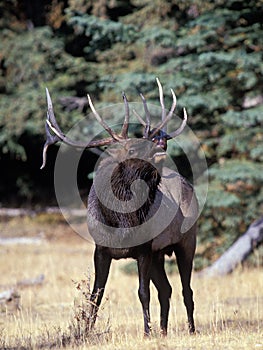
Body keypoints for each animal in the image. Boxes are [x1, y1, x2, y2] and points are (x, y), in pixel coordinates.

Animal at [40, 79, 198, 336]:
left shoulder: (144, 249)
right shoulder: (101, 250)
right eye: (132, 149)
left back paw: (191, 330)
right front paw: (86, 332)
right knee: (167, 289)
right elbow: (96, 295)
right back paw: (164, 331)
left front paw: (146, 332)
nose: (161, 144)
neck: (122, 223)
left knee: (186, 289)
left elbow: (142, 293)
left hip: (186, 240)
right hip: (159, 254)